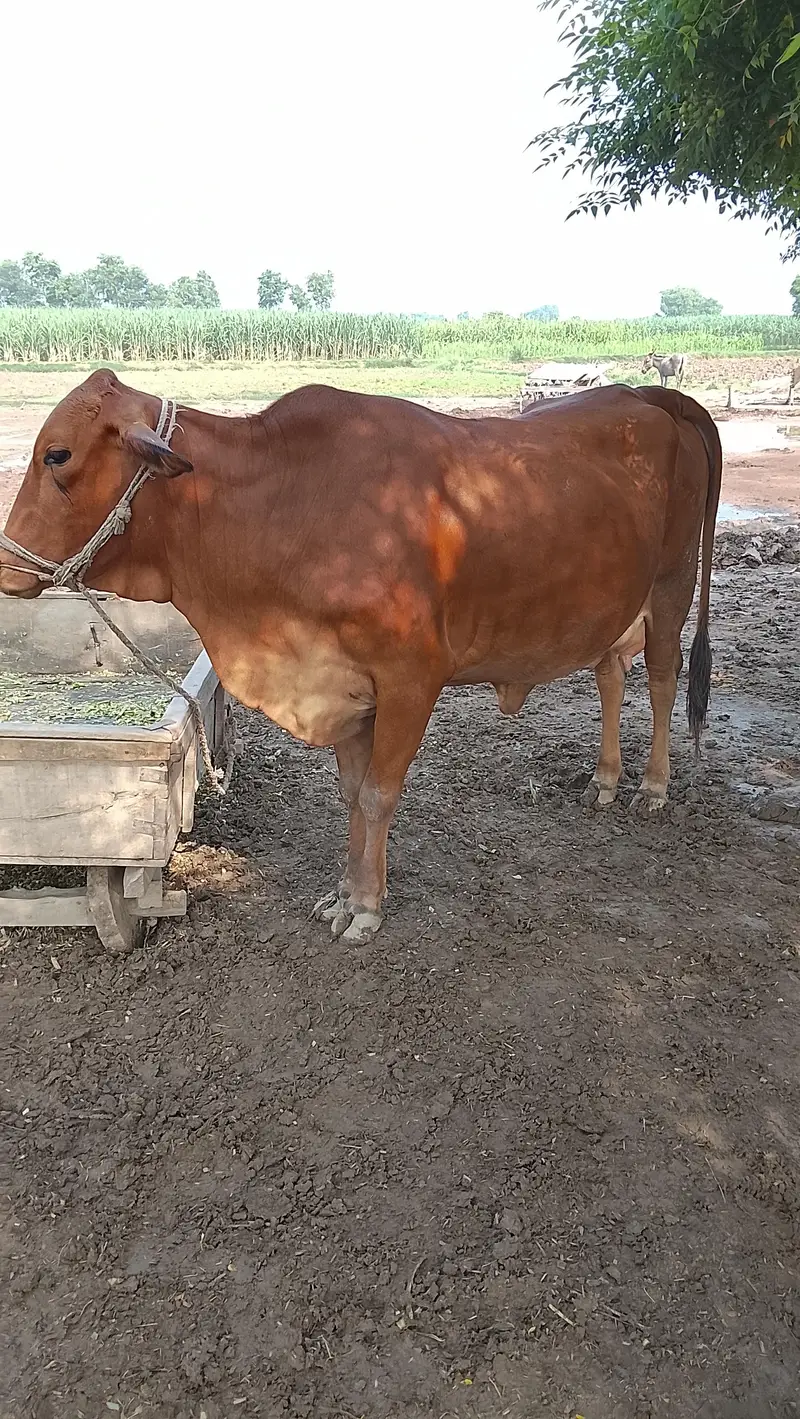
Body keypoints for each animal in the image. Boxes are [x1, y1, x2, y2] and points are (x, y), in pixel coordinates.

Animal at [0, 372, 721, 943]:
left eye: (57, 454)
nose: (6, 565)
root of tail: (650, 394)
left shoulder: (410, 680)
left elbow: (377, 793)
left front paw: (369, 906)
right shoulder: (343, 685)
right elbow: (350, 793)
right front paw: (344, 892)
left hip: (672, 584)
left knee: (663, 680)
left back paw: (652, 786)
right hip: (612, 607)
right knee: (610, 676)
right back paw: (605, 778)